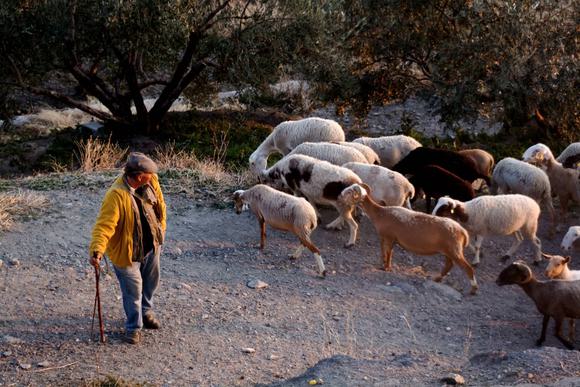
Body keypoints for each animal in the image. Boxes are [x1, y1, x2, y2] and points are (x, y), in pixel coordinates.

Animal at [338, 183, 478, 296]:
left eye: (349, 191)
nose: (339, 196)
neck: (380, 213)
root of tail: (462, 231)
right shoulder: (385, 237)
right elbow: (385, 253)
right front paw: (384, 265)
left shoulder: (389, 237)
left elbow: (388, 252)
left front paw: (386, 268)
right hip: (449, 250)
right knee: (449, 265)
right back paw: (437, 279)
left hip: (454, 249)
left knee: (468, 268)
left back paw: (473, 289)